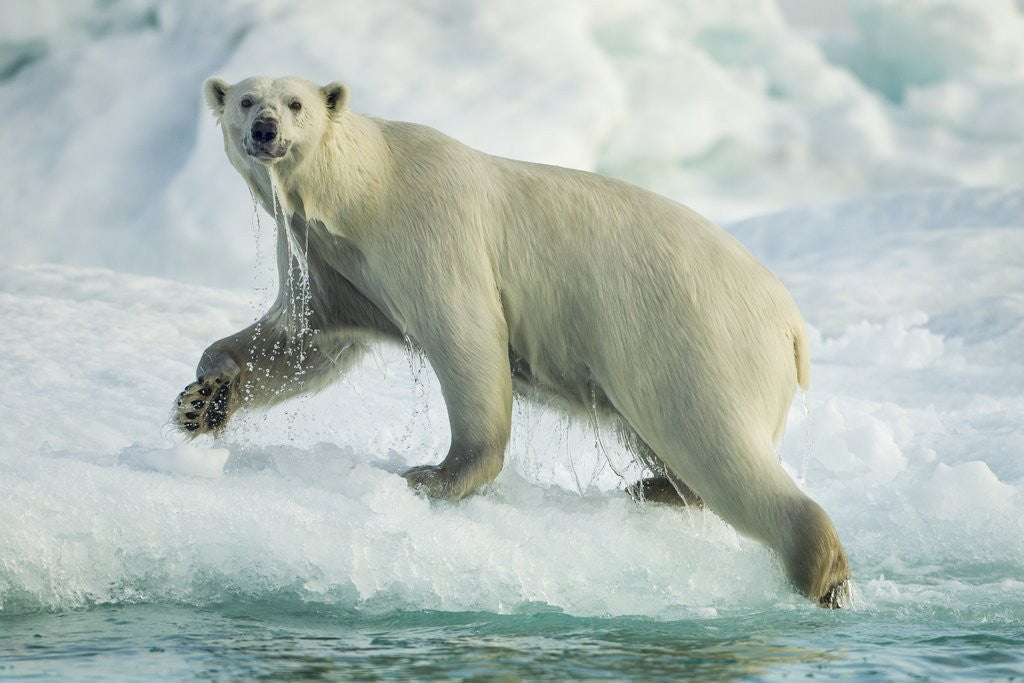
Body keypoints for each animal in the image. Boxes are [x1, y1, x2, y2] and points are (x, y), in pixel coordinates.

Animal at [175, 75, 851, 607]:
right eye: (245, 99)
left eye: (295, 102)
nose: (264, 130)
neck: (365, 191)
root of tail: (791, 323)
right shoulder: (330, 264)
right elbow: (301, 343)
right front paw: (202, 400)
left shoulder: (432, 230)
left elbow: (466, 337)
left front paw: (432, 477)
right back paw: (655, 487)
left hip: (694, 333)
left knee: (713, 439)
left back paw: (820, 571)